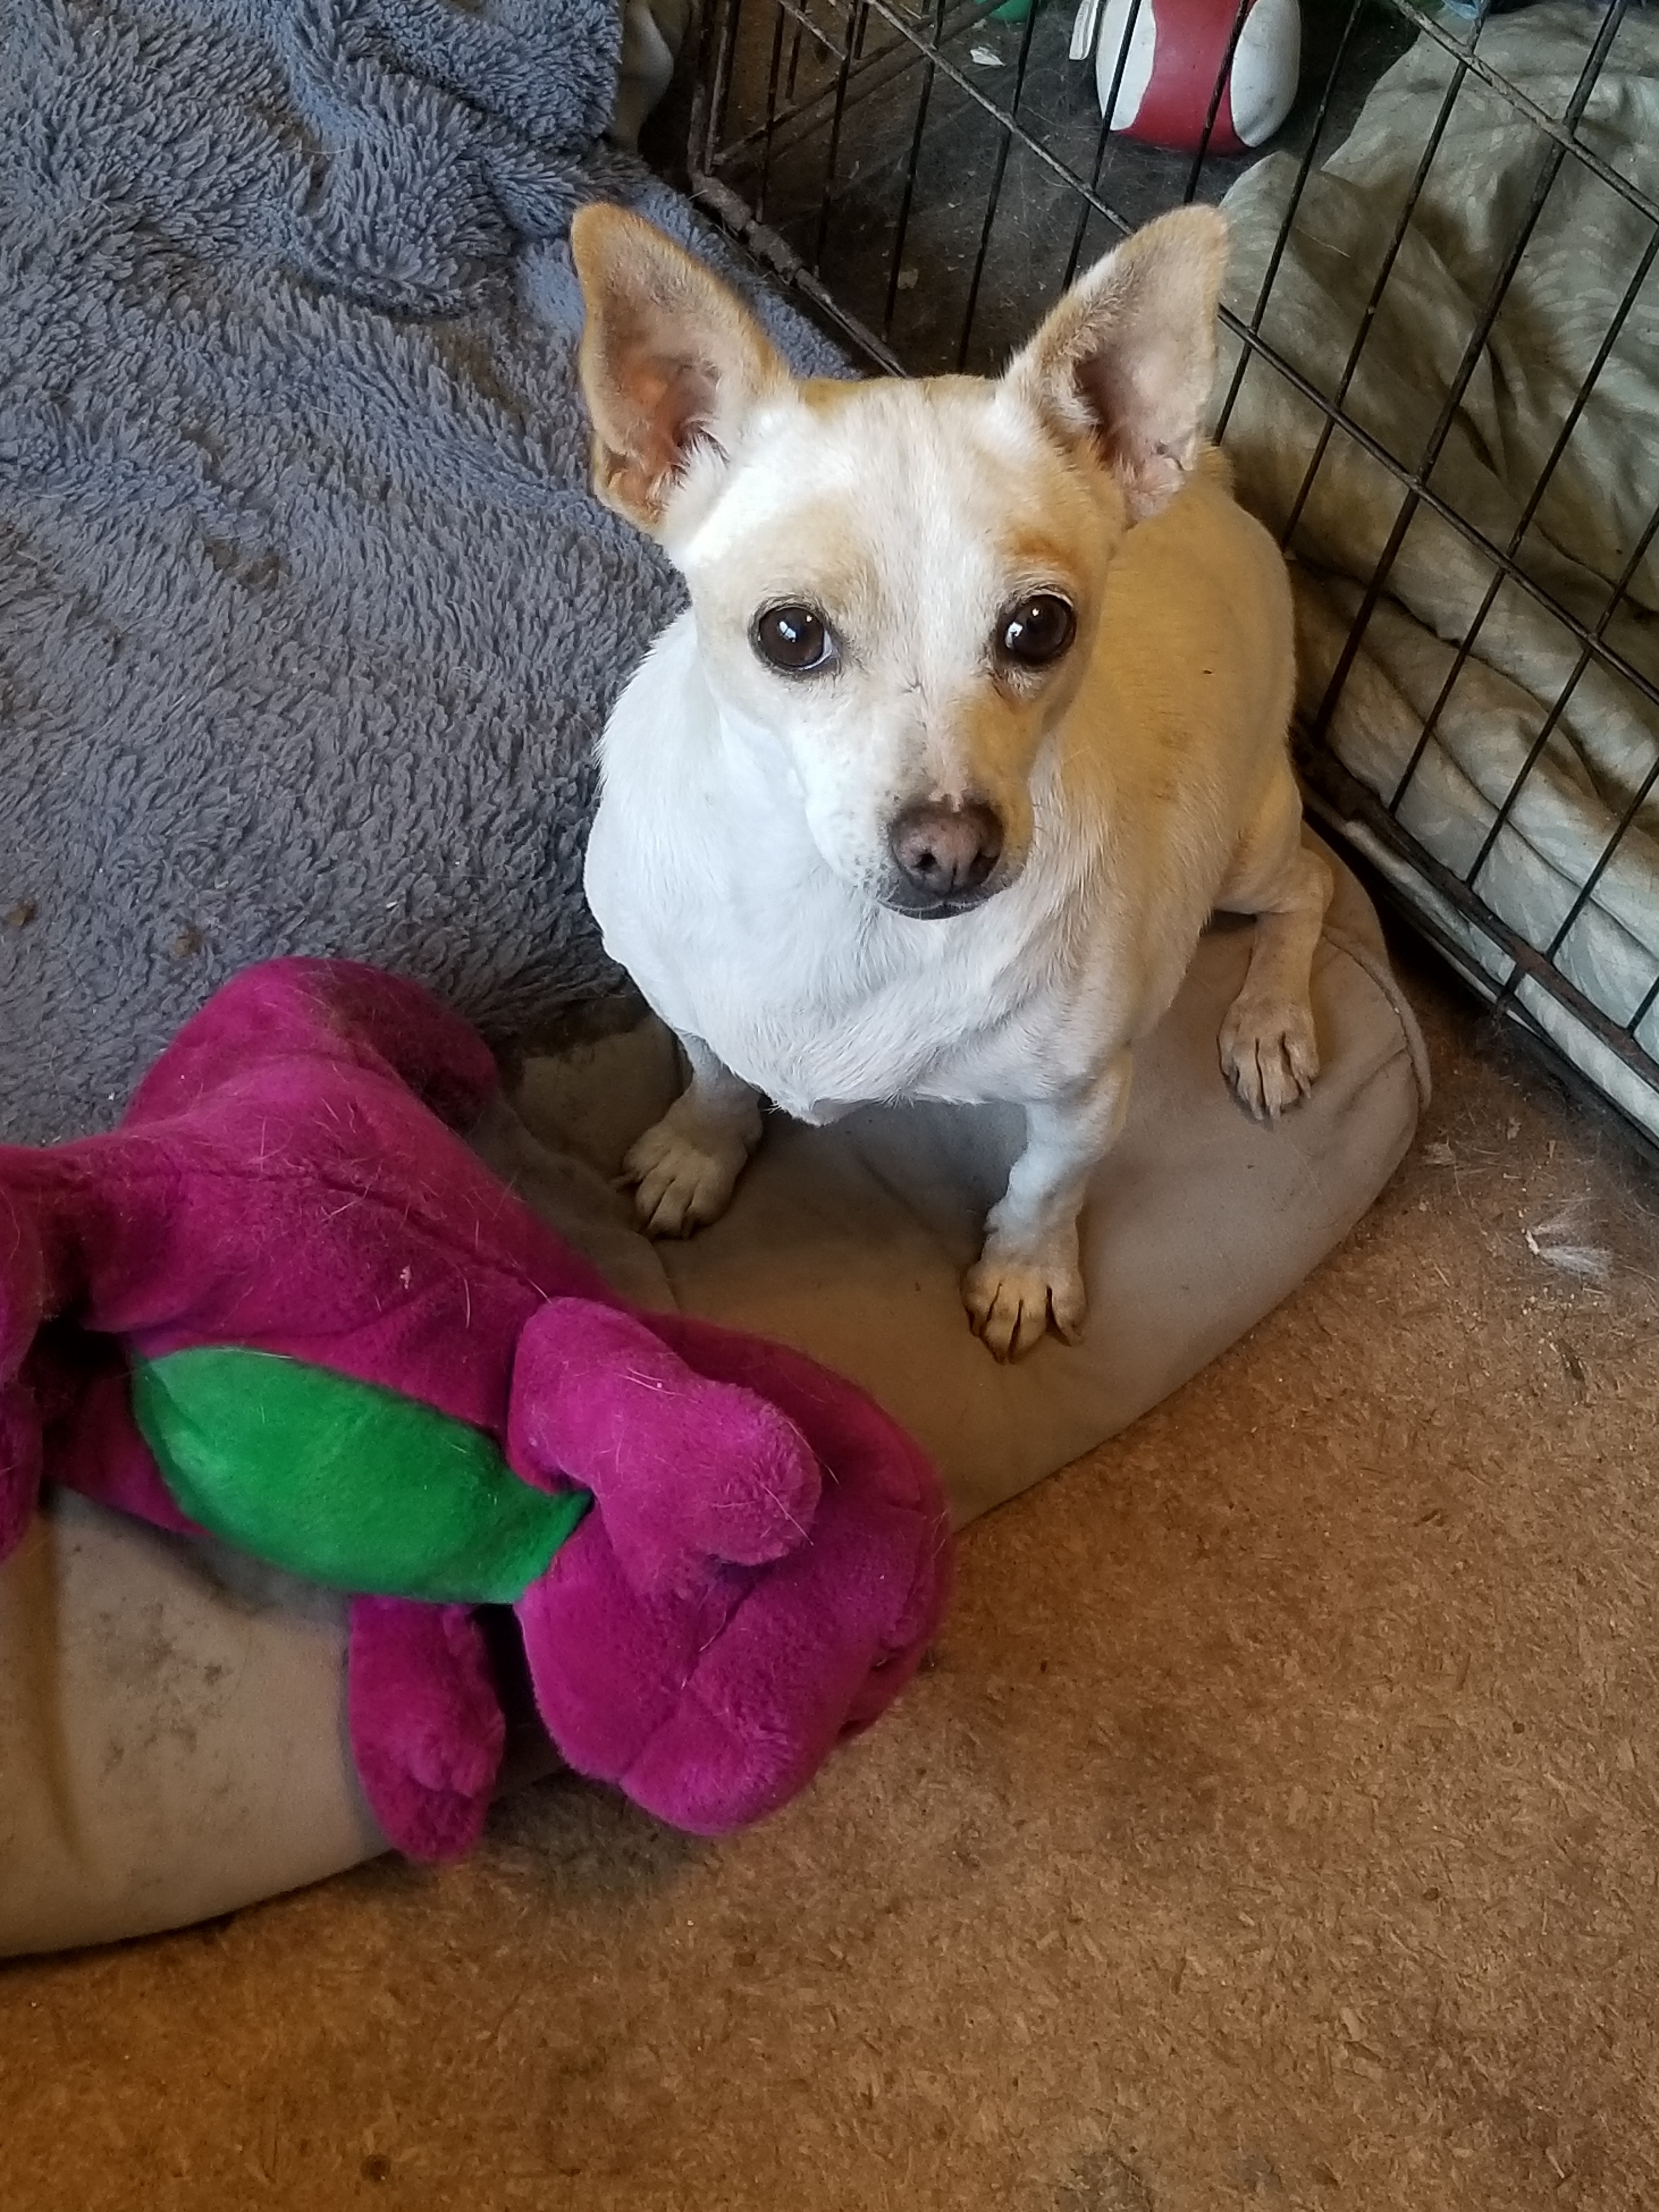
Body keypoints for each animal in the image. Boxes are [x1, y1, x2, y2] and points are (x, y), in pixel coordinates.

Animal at [579, 199, 1336, 1353]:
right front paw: (694, 1151)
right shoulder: (690, 1007)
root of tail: (1207, 481)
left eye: (1037, 627)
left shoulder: (1081, 1101)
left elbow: (1043, 1188)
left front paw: (1023, 1273)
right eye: (788, 635)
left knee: (1310, 883)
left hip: (1248, 852)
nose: (949, 846)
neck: (833, 921)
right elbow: (714, 1074)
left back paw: (1267, 1024)